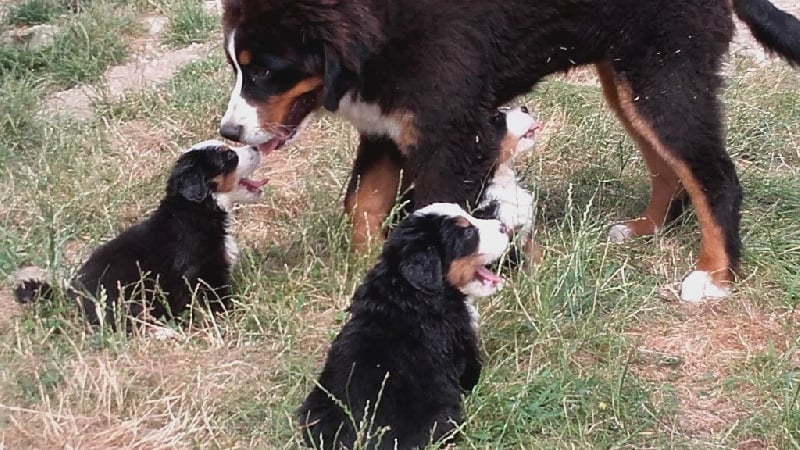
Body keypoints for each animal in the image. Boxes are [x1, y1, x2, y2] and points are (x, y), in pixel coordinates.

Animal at [12, 141, 268, 334]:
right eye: (229, 156)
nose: (256, 147)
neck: (196, 209)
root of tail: (70, 295)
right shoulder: (205, 272)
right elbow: (218, 300)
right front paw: (233, 315)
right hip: (126, 297)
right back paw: (166, 332)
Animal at [216, 0, 800, 302]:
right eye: (237, 67)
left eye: (265, 70)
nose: (230, 132)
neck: (381, 28)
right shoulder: (386, 126)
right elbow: (362, 204)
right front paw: (365, 270)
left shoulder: (449, 133)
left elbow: (436, 216)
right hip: (631, 80)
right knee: (670, 169)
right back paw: (643, 229)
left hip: (666, 75)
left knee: (714, 176)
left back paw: (714, 276)